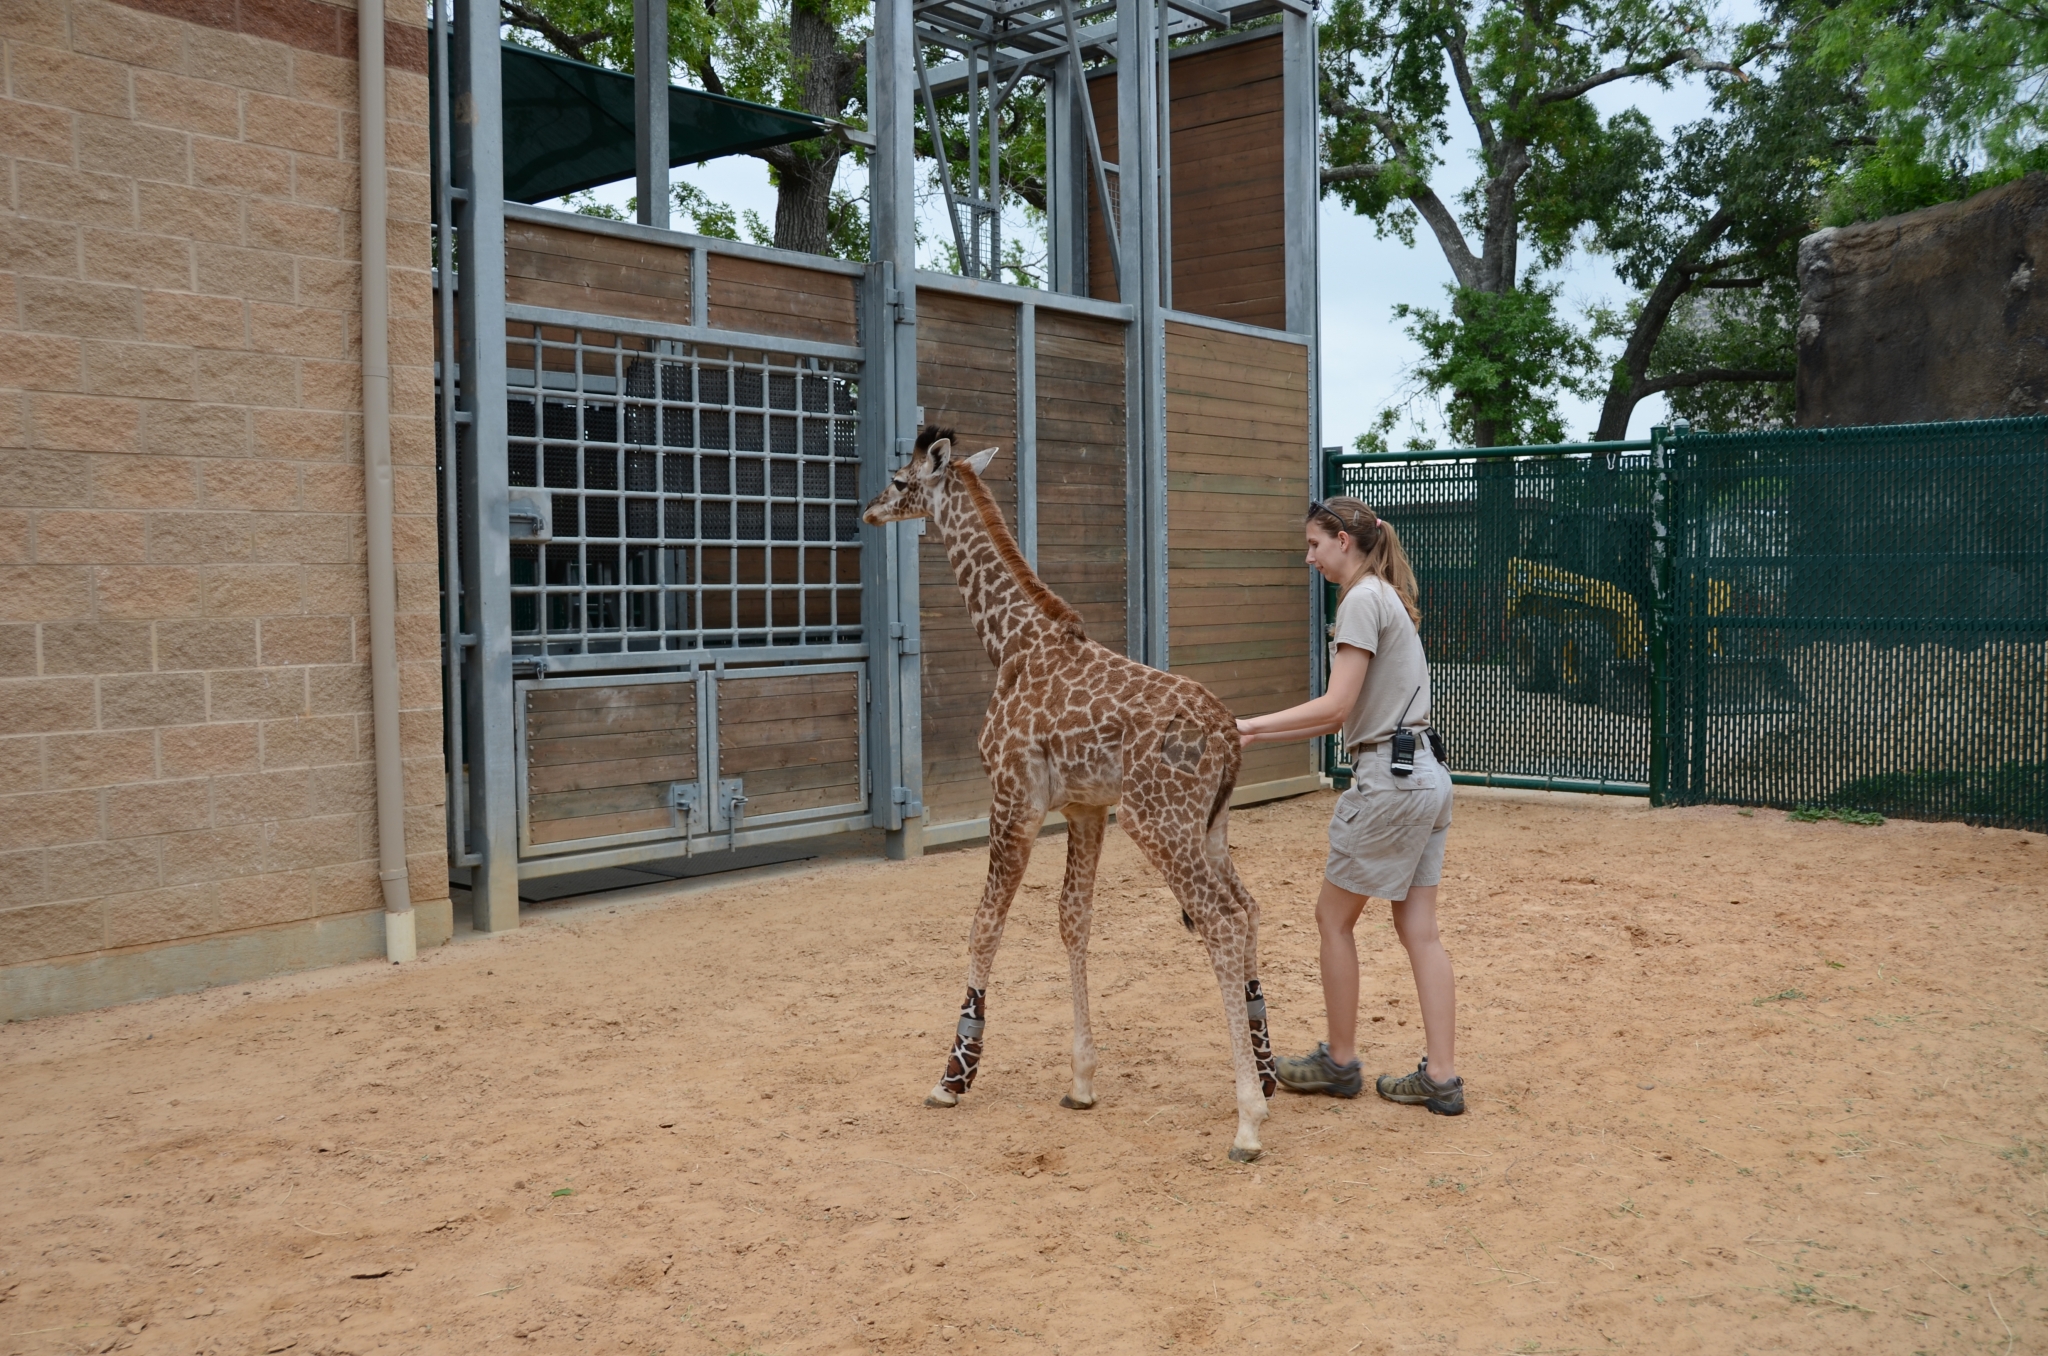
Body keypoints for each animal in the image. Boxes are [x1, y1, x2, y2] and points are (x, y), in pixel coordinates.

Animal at [864, 430, 1277, 1163]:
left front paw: (954, 1075)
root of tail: (1230, 737)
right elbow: (1072, 921)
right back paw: (1265, 1074)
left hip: (1158, 821)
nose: (869, 511)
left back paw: (1248, 1120)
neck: (1008, 644)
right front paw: (1082, 1082)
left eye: (901, 480)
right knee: (1248, 908)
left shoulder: (1014, 797)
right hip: (1208, 826)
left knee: (1223, 921)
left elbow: (985, 924)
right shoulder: (1085, 808)